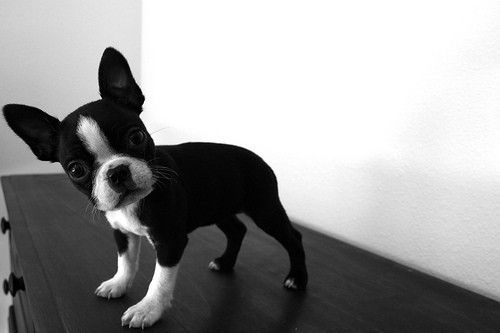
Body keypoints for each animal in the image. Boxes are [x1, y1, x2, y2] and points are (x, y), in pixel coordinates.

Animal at [2, 48, 308, 328]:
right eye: (76, 170)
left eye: (136, 137)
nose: (117, 171)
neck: (134, 204)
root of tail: (256, 158)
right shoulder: (122, 232)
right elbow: (125, 262)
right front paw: (118, 284)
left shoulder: (170, 241)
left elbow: (159, 280)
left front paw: (147, 310)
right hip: (219, 208)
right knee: (237, 230)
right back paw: (224, 262)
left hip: (264, 208)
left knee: (292, 236)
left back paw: (297, 278)